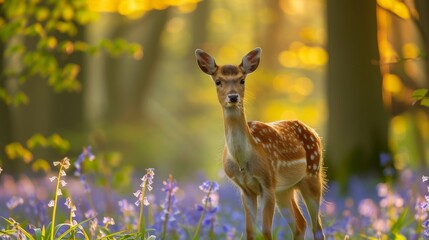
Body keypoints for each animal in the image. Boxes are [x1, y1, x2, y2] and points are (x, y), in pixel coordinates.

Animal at [194, 47, 324, 239]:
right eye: (218, 81)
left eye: (242, 79)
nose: (233, 97)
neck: (243, 160)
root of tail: (314, 132)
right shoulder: (245, 189)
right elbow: (249, 230)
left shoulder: (267, 183)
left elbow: (266, 231)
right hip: (285, 190)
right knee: (300, 224)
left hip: (312, 175)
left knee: (317, 227)